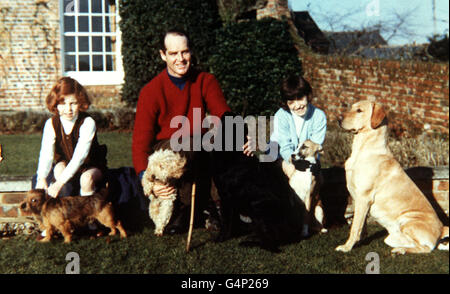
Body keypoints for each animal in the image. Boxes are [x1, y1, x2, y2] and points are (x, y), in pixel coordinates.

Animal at [211, 112, 306, 250]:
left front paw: (221, 238)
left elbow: (226, 220)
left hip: (258, 207)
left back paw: (248, 242)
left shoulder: (226, 196)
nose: (227, 112)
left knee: (270, 244)